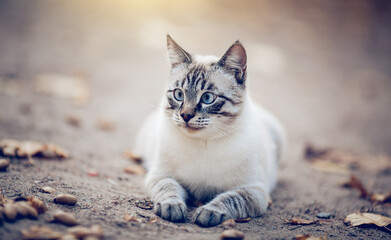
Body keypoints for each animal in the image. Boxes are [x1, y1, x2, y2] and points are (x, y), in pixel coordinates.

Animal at [133, 34, 286, 227]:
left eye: (207, 98)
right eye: (179, 95)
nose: (185, 115)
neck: (203, 143)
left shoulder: (254, 191)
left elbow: (230, 199)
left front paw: (208, 212)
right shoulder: (160, 176)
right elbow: (169, 189)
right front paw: (172, 208)